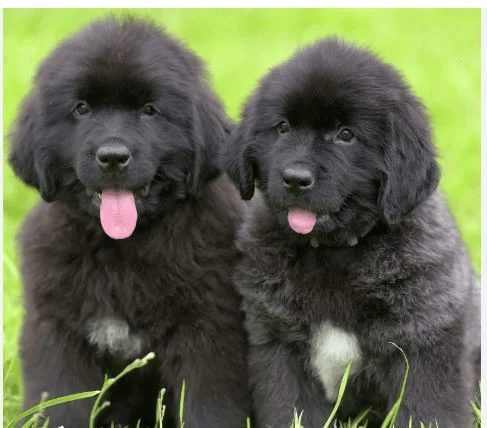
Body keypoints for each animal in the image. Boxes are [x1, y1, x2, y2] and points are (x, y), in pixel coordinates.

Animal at [10, 17, 250, 428]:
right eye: (82, 109)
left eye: (149, 110)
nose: (112, 156)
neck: (121, 249)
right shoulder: (57, 327)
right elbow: (60, 399)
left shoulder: (209, 328)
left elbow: (208, 402)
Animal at [224, 36, 480, 428]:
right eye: (283, 128)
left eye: (346, 135)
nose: (295, 178)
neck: (335, 252)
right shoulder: (278, 343)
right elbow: (290, 408)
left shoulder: (423, 341)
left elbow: (427, 409)